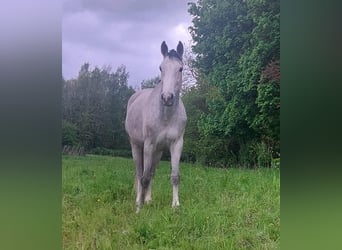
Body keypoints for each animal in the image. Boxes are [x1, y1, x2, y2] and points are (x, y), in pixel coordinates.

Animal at [125, 41, 186, 213]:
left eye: (180, 68)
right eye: (161, 68)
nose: (167, 98)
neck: (166, 116)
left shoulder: (176, 144)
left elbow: (174, 176)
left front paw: (176, 205)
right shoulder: (149, 145)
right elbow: (143, 178)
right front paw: (138, 209)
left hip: (158, 152)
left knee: (151, 172)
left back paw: (148, 199)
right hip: (136, 146)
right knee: (140, 173)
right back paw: (139, 200)